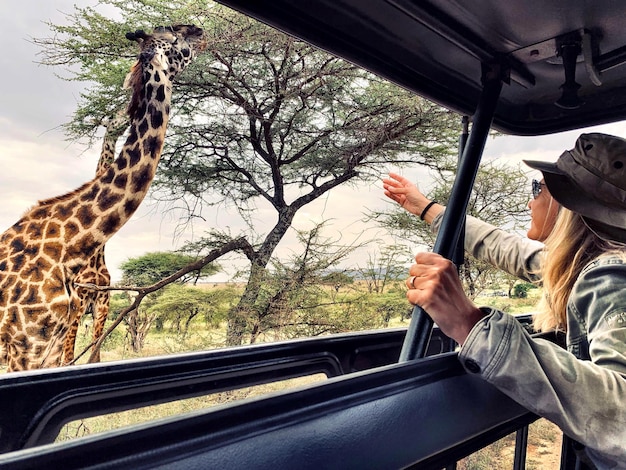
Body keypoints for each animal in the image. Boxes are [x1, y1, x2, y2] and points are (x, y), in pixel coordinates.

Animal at [61, 113, 129, 364]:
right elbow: (68, 356)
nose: (127, 116)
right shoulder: (79, 303)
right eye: (112, 117)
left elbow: (95, 352)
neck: (98, 256)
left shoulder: (102, 304)